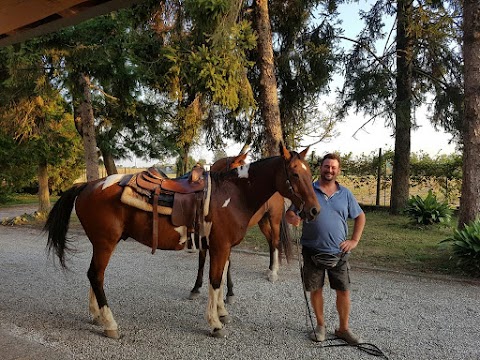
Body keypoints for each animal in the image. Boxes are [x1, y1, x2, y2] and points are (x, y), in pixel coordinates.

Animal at [45, 143, 320, 338]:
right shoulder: (220, 246)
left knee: (94, 275)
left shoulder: (221, 246)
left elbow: (219, 278)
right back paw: (110, 323)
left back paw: (96, 315)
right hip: (106, 242)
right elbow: (215, 281)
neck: (233, 195)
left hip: (100, 243)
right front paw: (215, 323)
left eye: (310, 174)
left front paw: (221, 312)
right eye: (295, 174)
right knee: (96, 275)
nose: (314, 210)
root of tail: (88, 185)